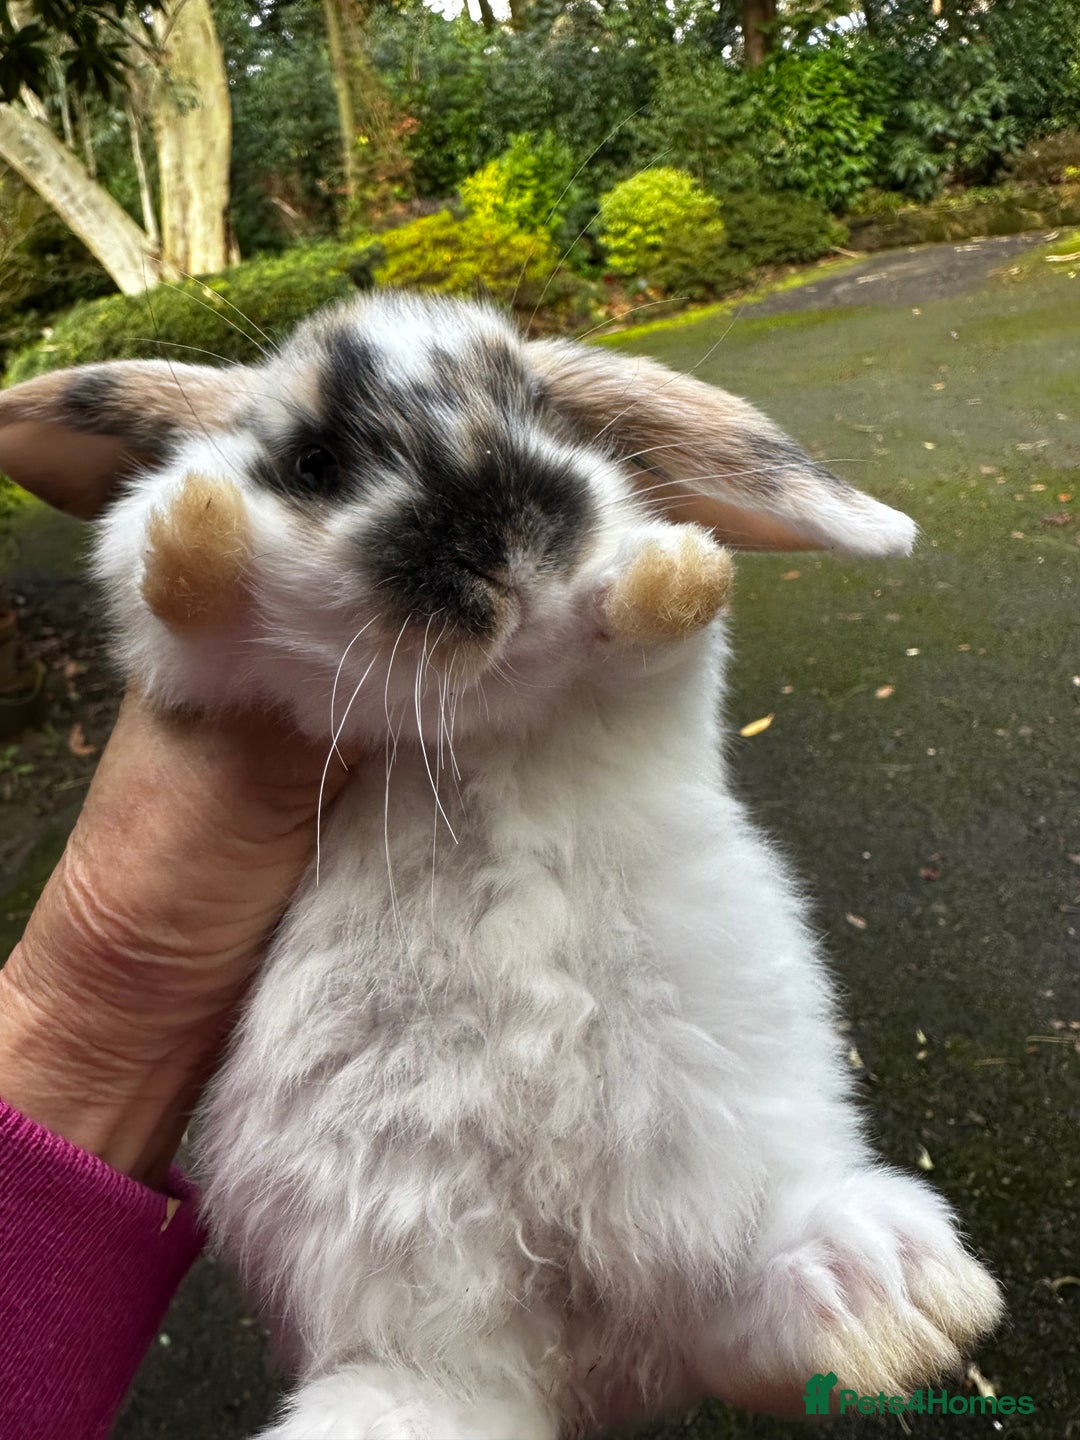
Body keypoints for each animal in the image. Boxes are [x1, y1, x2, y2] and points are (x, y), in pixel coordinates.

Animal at [0, 291, 1002, 1440]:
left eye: (542, 412)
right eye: (311, 463)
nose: (508, 536)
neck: (485, 708)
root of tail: (592, 1353)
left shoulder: (647, 687)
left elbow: (655, 634)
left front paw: (674, 565)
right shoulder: (206, 676)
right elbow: (183, 596)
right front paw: (202, 526)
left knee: (742, 1318)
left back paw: (892, 1292)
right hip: (405, 1289)